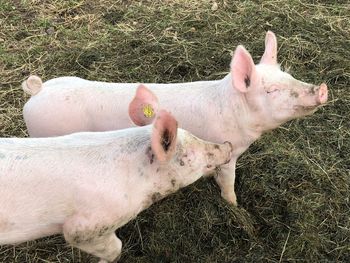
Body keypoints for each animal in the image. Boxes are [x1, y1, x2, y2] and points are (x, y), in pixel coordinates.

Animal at [22, 31, 328, 206]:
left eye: (289, 75)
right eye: (271, 90)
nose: (321, 89)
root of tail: (39, 90)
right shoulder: (228, 149)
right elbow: (228, 181)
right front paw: (235, 206)